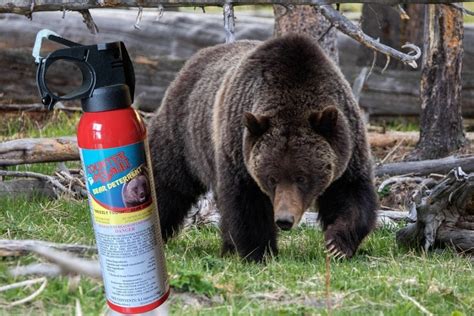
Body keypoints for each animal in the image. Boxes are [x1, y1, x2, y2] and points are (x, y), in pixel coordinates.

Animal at [148, 34, 378, 262]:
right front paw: (259, 252)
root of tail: (194, 59)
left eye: (302, 177)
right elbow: (247, 205)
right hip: (184, 137)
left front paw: (337, 244)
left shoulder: (348, 147)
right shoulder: (239, 152)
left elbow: (351, 195)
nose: (284, 220)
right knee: (167, 184)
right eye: (272, 178)